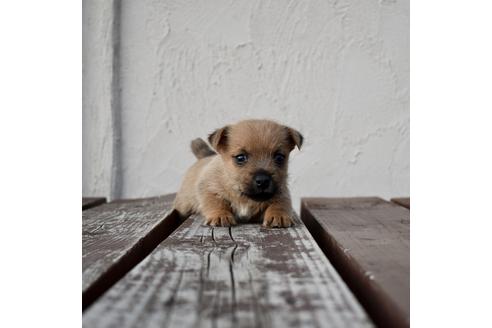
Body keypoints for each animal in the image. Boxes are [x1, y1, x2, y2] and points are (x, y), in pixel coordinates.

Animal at [173, 118, 304, 228]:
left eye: (279, 158)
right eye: (240, 158)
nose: (263, 180)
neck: (244, 198)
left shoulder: (282, 191)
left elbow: (280, 203)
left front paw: (278, 215)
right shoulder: (208, 188)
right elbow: (215, 202)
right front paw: (220, 215)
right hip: (184, 204)